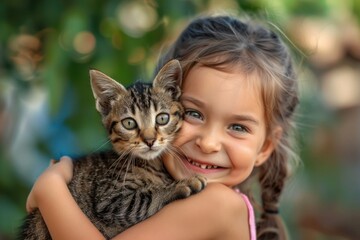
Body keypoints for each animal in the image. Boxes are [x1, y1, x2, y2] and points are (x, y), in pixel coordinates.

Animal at [19, 59, 205, 239]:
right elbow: (147, 197)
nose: (150, 140)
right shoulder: (109, 200)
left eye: (162, 118)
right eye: (129, 123)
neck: (152, 164)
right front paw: (181, 185)